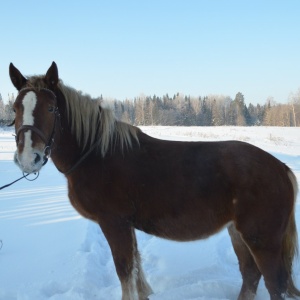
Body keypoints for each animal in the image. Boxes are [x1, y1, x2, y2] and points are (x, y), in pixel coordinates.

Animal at [8, 62, 298, 298]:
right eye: (15, 108)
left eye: (51, 107)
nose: (28, 158)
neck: (97, 155)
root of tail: (281, 168)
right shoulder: (127, 225)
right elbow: (136, 268)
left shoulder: (114, 223)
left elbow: (125, 272)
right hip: (238, 233)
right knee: (250, 275)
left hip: (263, 240)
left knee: (273, 284)